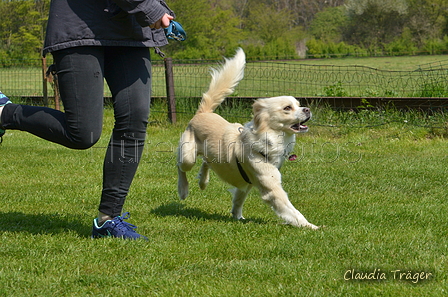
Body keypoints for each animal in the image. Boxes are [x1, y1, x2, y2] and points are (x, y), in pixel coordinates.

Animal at [175, 49, 318, 229]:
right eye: (287, 108)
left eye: (299, 104)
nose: (307, 109)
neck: (270, 139)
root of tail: (203, 113)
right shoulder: (272, 188)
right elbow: (293, 212)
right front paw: (311, 227)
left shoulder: (248, 183)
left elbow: (238, 201)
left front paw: (238, 217)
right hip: (188, 157)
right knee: (180, 167)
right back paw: (183, 189)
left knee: (206, 162)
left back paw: (203, 181)